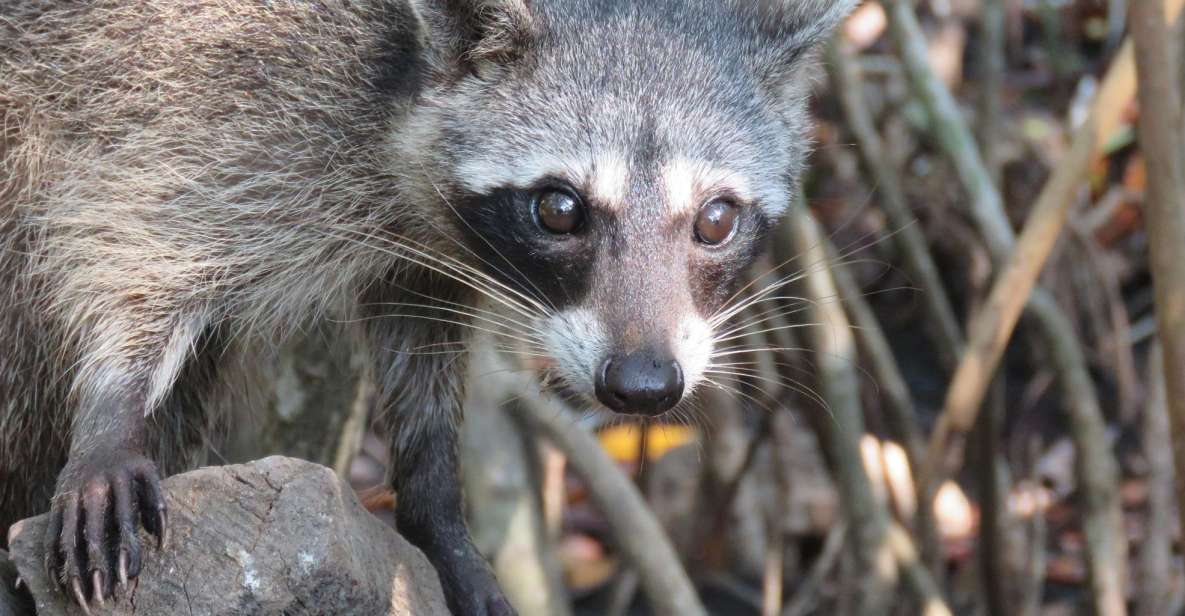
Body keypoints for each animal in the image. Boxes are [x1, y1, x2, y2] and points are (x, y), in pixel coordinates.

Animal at [0, 0, 853, 611]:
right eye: (559, 210)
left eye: (716, 220)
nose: (642, 385)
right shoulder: (216, 84)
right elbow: (131, 236)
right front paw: (111, 411)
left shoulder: (422, 241)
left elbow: (420, 334)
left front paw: (433, 500)